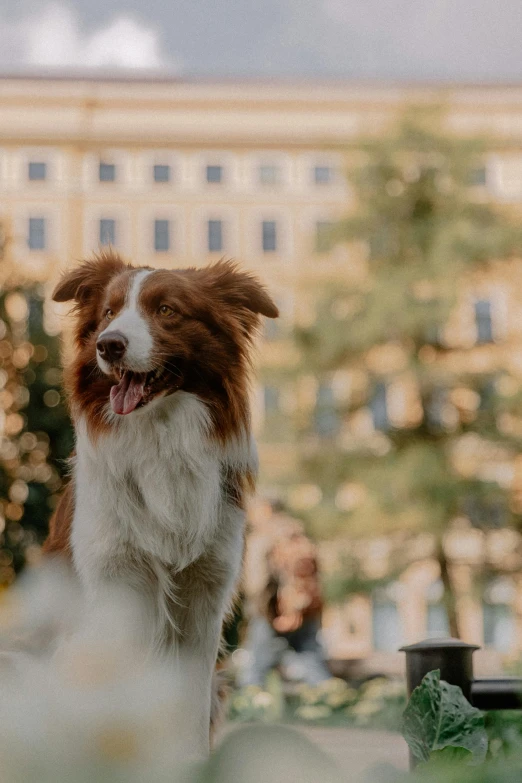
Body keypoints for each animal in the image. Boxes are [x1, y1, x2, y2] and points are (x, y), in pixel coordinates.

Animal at [43, 251, 278, 760]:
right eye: (108, 313)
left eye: (167, 310)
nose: (109, 345)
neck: (160, 438)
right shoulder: (113, 583)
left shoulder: (204, 594)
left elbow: (187, 709)